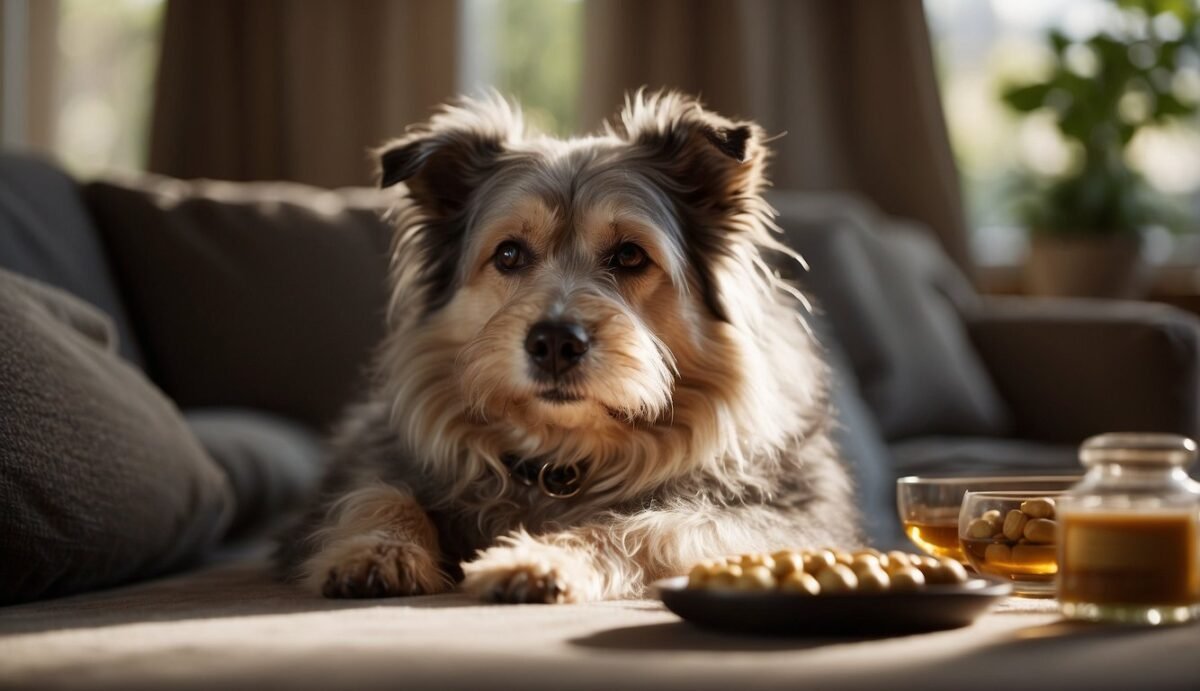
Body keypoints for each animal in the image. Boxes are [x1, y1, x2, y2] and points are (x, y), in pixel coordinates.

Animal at [278, 90, 864, 599]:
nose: (555, 342)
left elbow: (656, 526)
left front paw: (541, 558)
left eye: (630, 255)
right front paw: (378, 552)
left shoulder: (785, 519)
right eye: (509, 254)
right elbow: (379, 492)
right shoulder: (362, 477)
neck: (562, 457)